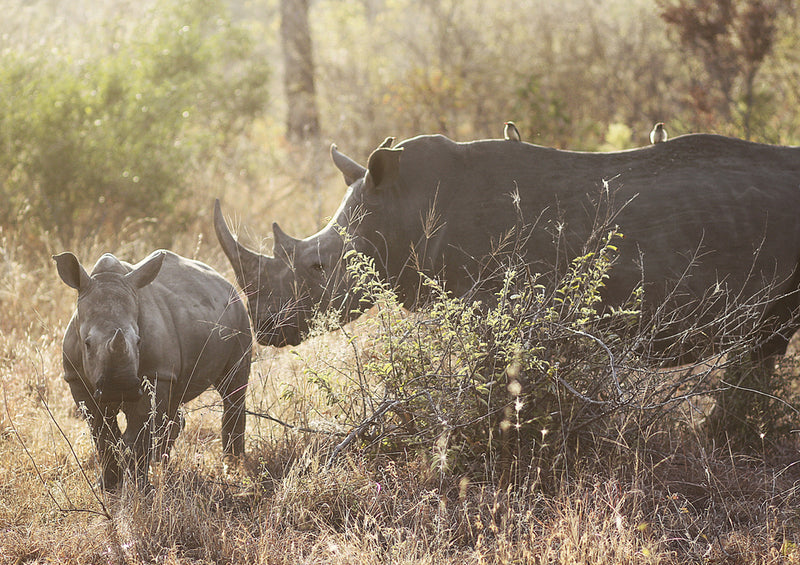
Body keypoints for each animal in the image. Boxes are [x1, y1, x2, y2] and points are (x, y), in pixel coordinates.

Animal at [55, 249, 252, 486]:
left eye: (139, 341)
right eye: (87, 343)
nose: (119, 387)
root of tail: (226, 283)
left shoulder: (156, 374)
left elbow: (138, 433)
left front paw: (137, 485)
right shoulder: (76, 378)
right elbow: (101, 432)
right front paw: (107, 485)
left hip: (240, 317)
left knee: (233, 388)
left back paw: (233, 466)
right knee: (175, 399)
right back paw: (162, 462)